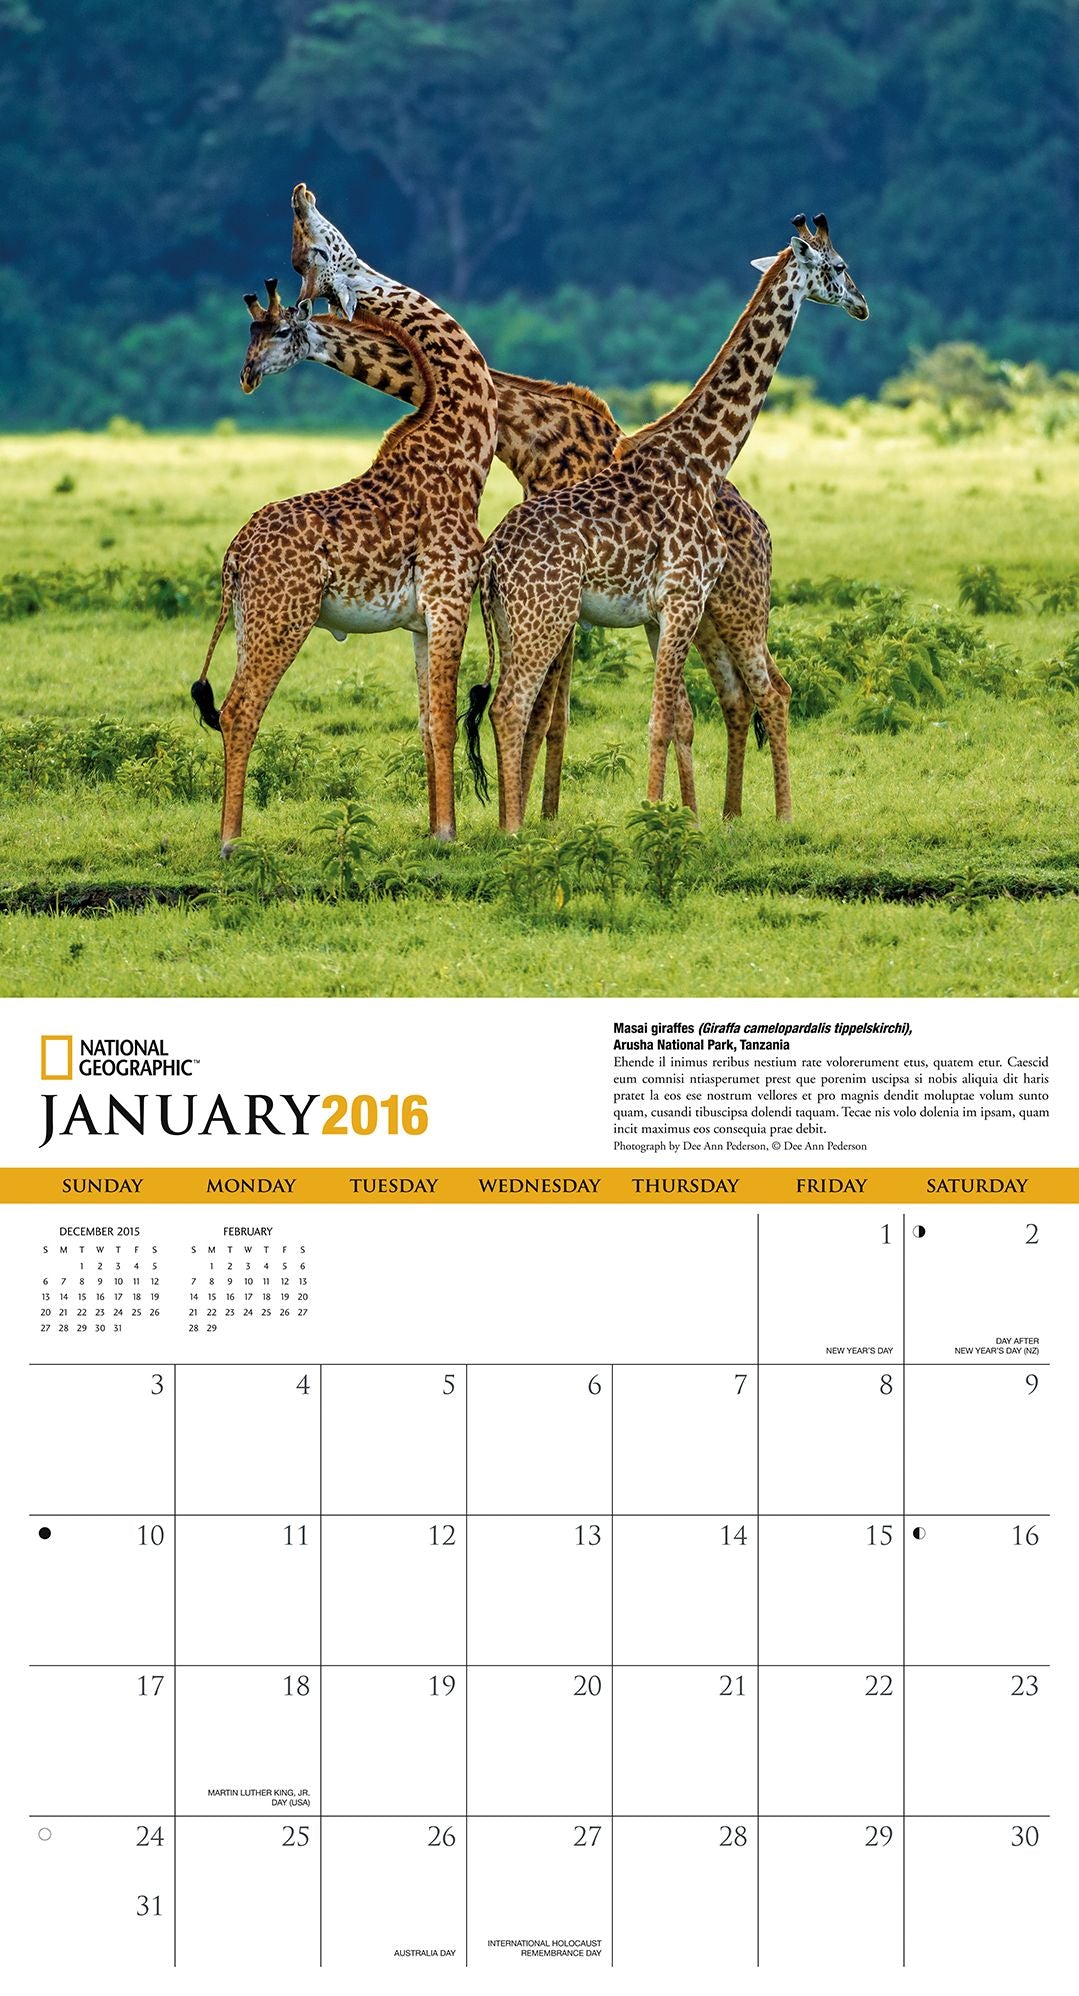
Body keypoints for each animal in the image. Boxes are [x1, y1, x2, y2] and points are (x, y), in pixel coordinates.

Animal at [192, 224, 498, 851]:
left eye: (280, 330)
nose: (247, 376)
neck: (467, 455)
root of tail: (233, 556)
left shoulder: (422, 619)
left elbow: (427, 723)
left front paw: (435, 829)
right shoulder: (451, 598)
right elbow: (446, 719)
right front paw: (449, 834)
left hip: (246, 622)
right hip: (284, 618)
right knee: (239, 709)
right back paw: (231, 841)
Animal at [271, 188, 784, 823]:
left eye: (312, 247)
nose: (301, 195)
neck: (530, 437)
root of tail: (760, 528)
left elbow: (548, 715)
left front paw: (536, 816)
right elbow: (551, 712)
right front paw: (539, 814)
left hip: (728, 603)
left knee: (754, 693)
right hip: (702, 613)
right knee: (731, 698)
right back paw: (721, 815)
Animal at [467, 215, 868, 833]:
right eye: (841, 266)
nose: (862, 306)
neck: (706, 457)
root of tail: (491, 561)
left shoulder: (661, 613)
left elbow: (673, 716)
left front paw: (674, 815)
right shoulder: (682, 597)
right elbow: (661, 718)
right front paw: (655, 819)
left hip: (517, 625)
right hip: (549, 619)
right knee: (512, 705)